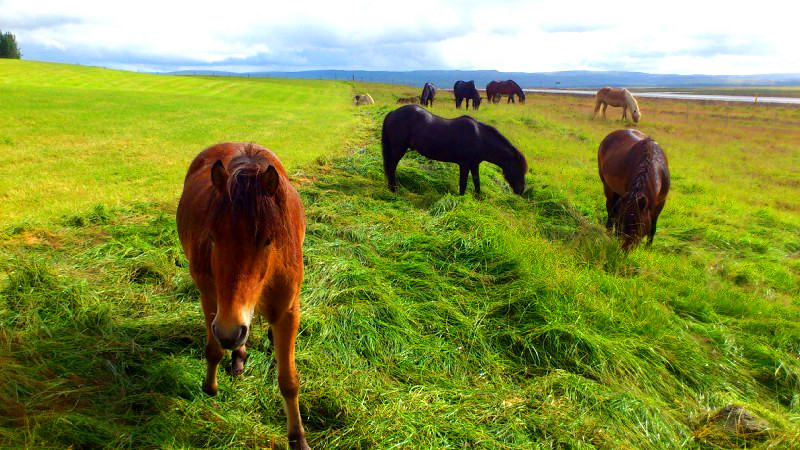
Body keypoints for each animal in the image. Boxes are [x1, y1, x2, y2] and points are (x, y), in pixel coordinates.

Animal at [177, 142, 310, 448]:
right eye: (212, 238)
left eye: (268, 241)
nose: (229, 330)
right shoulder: (211, 300)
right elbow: (214, 349)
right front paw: (210, 387)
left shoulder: (288, 312)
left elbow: (289, 381)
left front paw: (298, 437)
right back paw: (238, 358)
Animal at [382, 106, 532, 196]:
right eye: (518, 170)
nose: (521, 191)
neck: (479, 138)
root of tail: (393, 112)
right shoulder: (464, 164)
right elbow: (463, 183)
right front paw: (461, 199)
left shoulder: (474, 164)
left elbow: (477, 181)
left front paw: (478, 197)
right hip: (398, 149)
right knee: (391, 167)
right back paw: (393, 189)